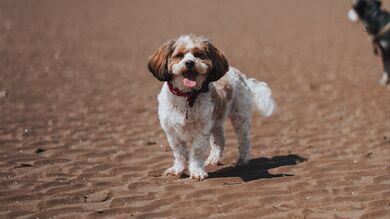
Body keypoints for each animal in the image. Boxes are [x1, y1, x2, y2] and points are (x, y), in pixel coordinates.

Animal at [148, 34, 276, 181]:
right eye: (179, 55)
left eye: (198, 55)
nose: (189, 63)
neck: (188, 96)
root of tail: (240, 75)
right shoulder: (172, 132)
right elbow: (179, 153)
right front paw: (177, 170)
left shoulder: (201, 130)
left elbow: (196, 153)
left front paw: (197, 172)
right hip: (215, 122)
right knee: (219, 140)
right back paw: (213, 159)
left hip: (240, 118)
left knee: (243, 140)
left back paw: (242, 160)